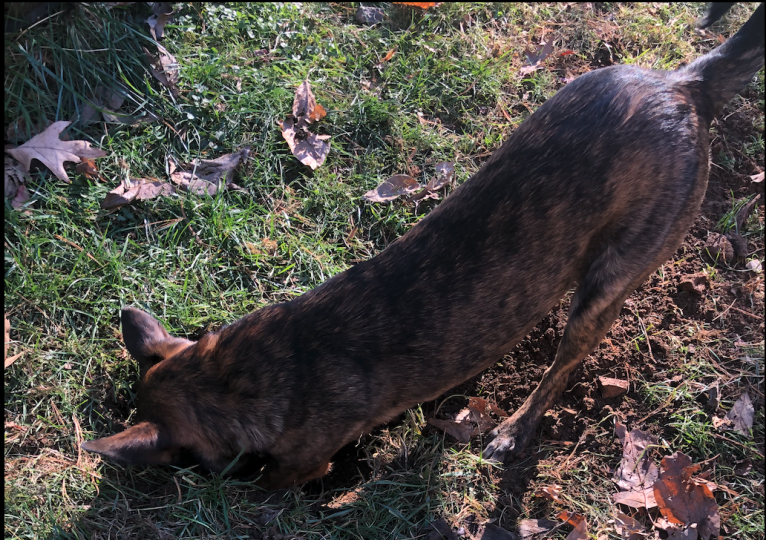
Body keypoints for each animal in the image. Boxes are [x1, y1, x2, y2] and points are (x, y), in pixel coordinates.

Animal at [81, 2, 764, 490]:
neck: (249, 367)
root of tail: (684, 83)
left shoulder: (301, 460)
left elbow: (272, 484)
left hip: (613, 279)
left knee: (562, 366)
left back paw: (514, 429)